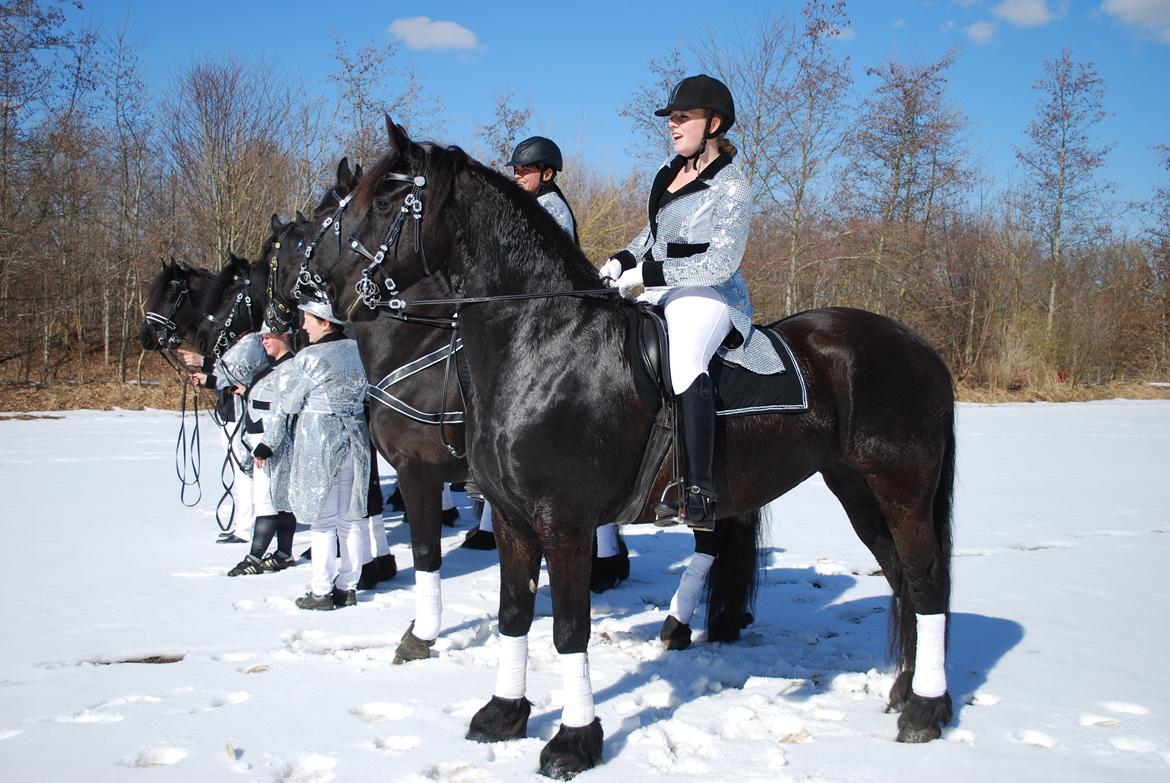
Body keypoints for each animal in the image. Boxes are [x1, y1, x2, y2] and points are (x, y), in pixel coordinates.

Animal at [311, 122, 959, 777]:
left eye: (386, 200)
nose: (323, 289)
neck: (542, 344)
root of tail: (920, 348)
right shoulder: (515, 521)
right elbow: (514, 614)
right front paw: (502, 715)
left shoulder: (560, 522)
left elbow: (568, 628)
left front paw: (574, 741)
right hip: (856, 488)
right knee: (901, 577)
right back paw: (903, 689)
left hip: (900, 489)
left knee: (927, 579)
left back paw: (925, 710)